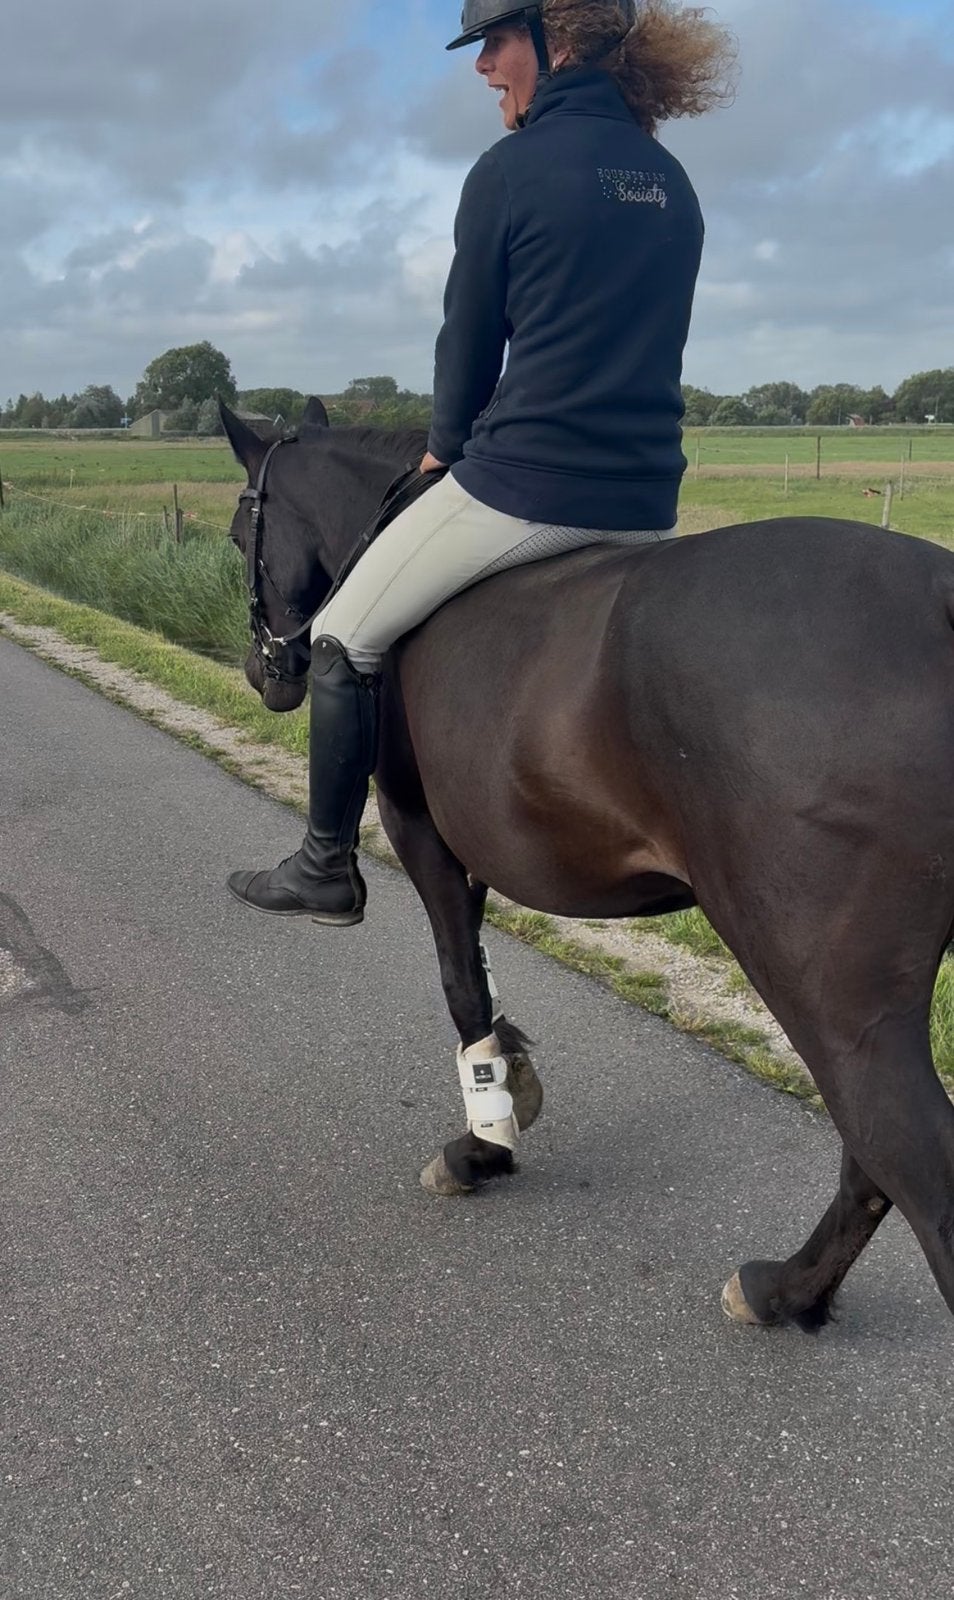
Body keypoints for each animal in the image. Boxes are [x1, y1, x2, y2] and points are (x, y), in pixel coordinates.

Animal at [222, 398, 954, 1335]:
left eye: (242, 531)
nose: (264, 672)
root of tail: (937, 599)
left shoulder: (419, 829)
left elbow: (460, 979)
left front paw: (483, 1144)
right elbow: (482, 975)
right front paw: (510, 1088)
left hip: (833, 995)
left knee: (902, 1153)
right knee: (873, 1155)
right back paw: (788, 1291)